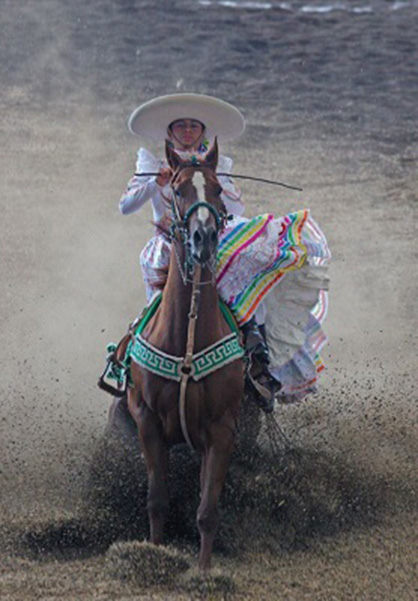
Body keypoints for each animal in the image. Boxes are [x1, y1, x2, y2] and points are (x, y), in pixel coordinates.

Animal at [125, 138, 247, 568]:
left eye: (218, 189)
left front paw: (204, 570)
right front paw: (154, 556)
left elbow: (207, 510)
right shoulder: (147, 421)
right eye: (178, 189)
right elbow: (157, 501)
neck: (187, 342)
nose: (203, 237)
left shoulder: (222, 428)